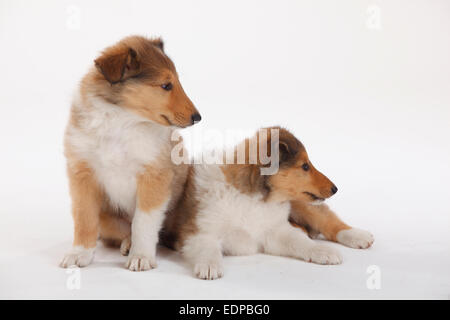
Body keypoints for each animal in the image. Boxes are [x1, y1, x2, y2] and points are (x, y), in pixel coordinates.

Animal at [59, 34, 200, 270]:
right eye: (166, 85)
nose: (198, 117)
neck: (123, 121)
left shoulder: (154, 175)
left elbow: (143, 222)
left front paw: (141, 256)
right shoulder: (82, 173)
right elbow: (84, 217)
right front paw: (79, 253)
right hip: (108, 217)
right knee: (120, 231)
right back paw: (126, 243)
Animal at [160, 127, 374, 280]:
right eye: (305, 166)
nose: (335, 188)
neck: (252, 199)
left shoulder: (275, 230)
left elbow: (300, 241)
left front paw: (322, 251)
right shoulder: (197, 230)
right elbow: (207, 246)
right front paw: (210, 266)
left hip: (301, 202)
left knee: (327, 221)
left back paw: (358, 236)